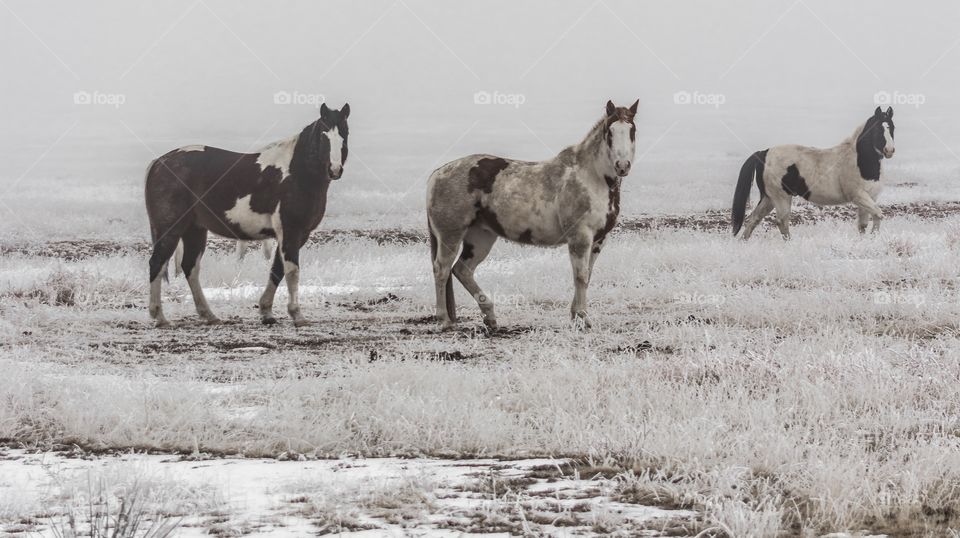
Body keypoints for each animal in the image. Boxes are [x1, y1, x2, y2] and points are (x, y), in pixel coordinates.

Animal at [145, 102, 350, 327]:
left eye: (345, 132)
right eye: (324, 135)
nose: (334, 170)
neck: (297, 172)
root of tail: (159, 162)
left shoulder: (293, 235)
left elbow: (276, 270)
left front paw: (267, 312)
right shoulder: (291, 232)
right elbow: (292, 271)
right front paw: (297, 315)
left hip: (194, 230)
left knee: (190, 267)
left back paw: (209, 315)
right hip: (171, 230)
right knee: (157, 264)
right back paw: (160, 317)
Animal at [426, 99, 638, 330]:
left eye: (632, 130)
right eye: (610, 132)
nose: (622, 166)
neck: (590, 177)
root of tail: (437, 174)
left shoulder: (599, 240)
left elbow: (586, 276)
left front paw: (575, 316)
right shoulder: (580, 237)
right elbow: (580, 276)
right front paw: (584, 318)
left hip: (481, 238)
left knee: (462, 270)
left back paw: (490, 317)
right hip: (451, 236)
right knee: (442, 270)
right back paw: (444, 320)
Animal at [732, 106, 895, 240]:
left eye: (892, 127)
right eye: (878, 129)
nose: (889, 151)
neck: (860, 161)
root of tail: (764, 153)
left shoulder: (870, 197)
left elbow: (863, 225)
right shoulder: (858, 196)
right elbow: (878, 214)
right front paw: (874, 238)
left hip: (769, 198)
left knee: (754, 219)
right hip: (781, 198)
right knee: (782, 222)